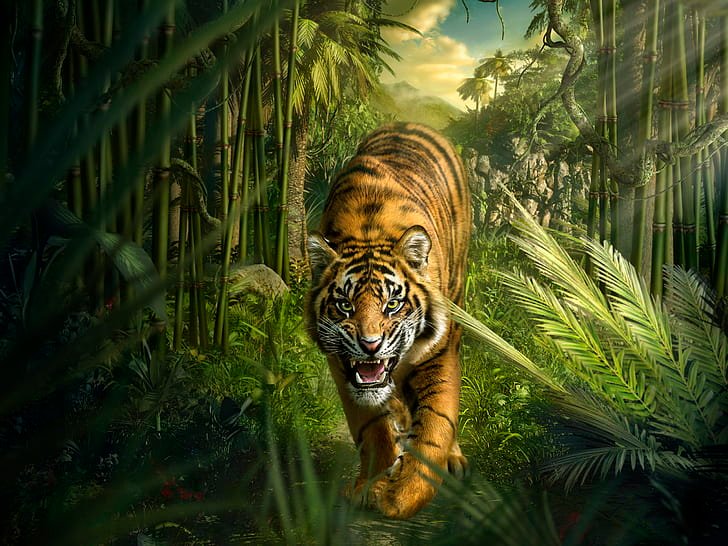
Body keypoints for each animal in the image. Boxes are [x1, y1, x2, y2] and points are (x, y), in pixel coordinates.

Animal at [306, 122, 471, 519]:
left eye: (393, 304)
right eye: (345, 305)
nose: (370, 346)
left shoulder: (439, 355)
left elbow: (436, 427)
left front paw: (403, 497)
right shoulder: (342, 365)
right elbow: (372, 424)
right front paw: (373, 483)